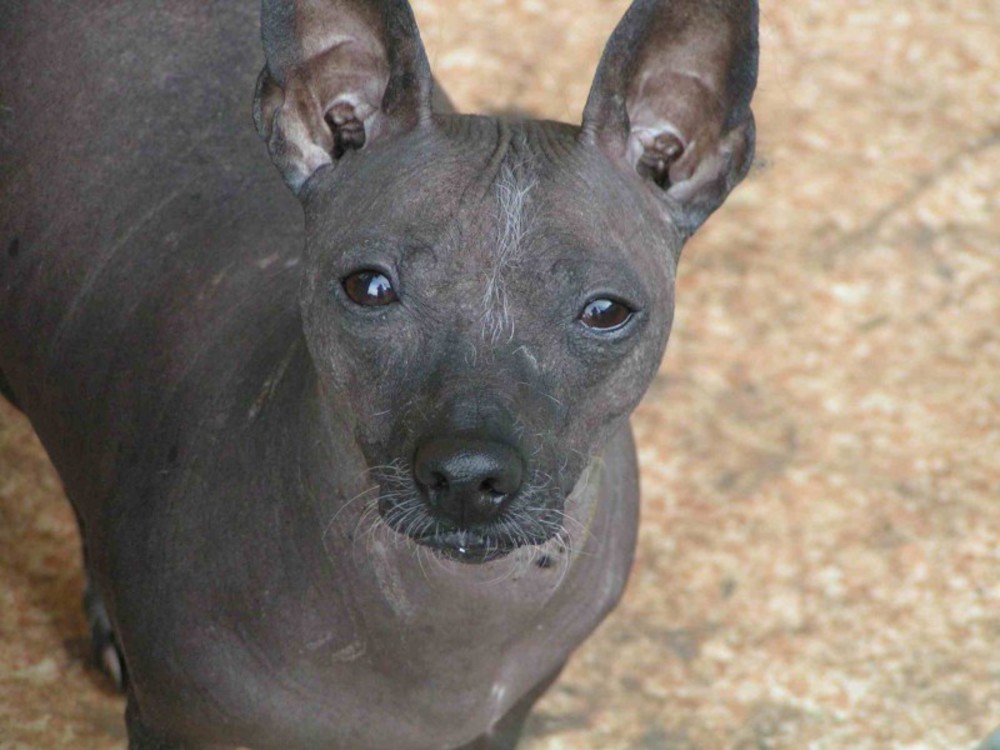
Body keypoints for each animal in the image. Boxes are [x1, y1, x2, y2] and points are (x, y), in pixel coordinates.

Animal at [0, 0, 756, 748]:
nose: (469, 476)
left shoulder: (507, 717)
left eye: (606, 311)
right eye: (369, 286)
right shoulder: (172, 726)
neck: (441, 648)